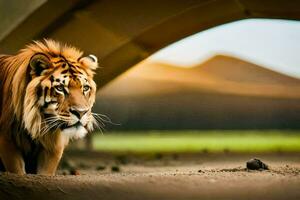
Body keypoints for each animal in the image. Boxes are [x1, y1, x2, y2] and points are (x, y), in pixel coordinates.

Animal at [0, 39, 99, 175]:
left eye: (85, 88)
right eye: (60, 88)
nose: (81, 112)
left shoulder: (53, 148)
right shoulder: (7, 142)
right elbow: (17, 170)